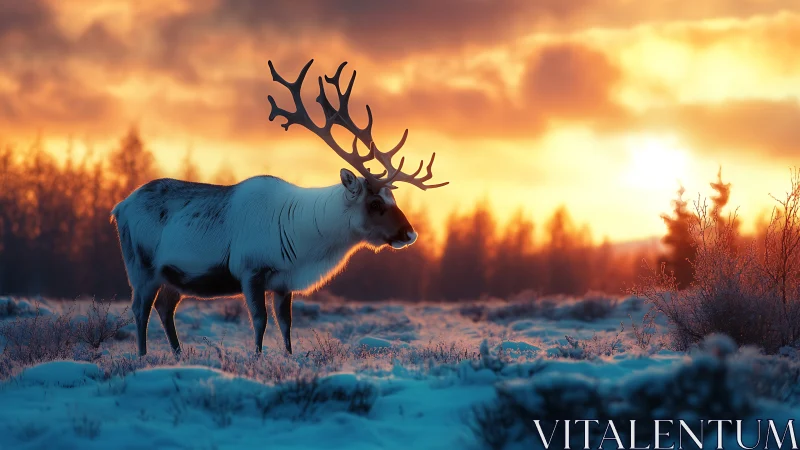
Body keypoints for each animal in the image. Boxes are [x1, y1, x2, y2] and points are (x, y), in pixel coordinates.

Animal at [110, 59, 448, 357]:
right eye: (375, 202)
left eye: (395, 199)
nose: (410, 233)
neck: (304, 241)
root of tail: (119, 206)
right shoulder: (250, 270)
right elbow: (259, 322)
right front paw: (258, 357)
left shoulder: (285, 282)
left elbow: (286, 324)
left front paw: (288, 356)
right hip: (141, 267)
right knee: (141, 309)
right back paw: (142, 356)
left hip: (173, 276)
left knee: (165, 308)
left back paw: (178, 354)